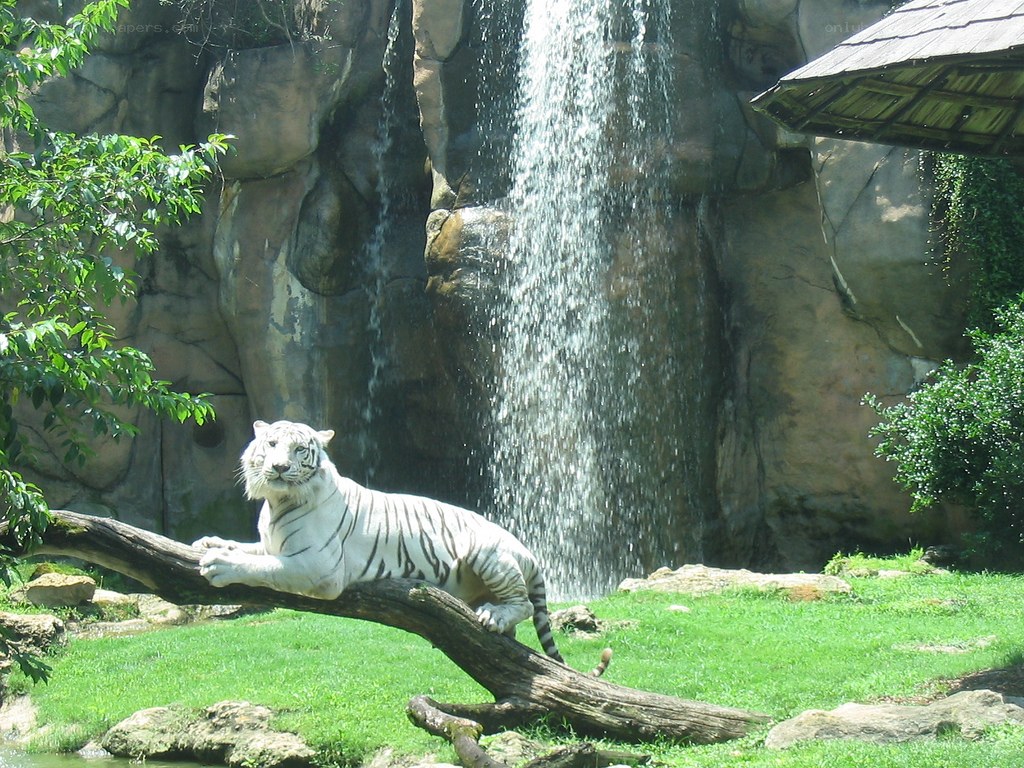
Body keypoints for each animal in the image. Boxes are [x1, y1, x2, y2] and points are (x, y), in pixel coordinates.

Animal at [192, 419, 610, 676]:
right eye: (272, 444)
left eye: (299, 450)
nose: (279, 467)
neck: (277, 502)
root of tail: (529, 551)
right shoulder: (274, 544)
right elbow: (251, 550)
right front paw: (210, 541)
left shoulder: (318, 567)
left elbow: (265, 568)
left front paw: (219, 564)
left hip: (487, 552)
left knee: (521, 603)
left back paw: (493, 616)